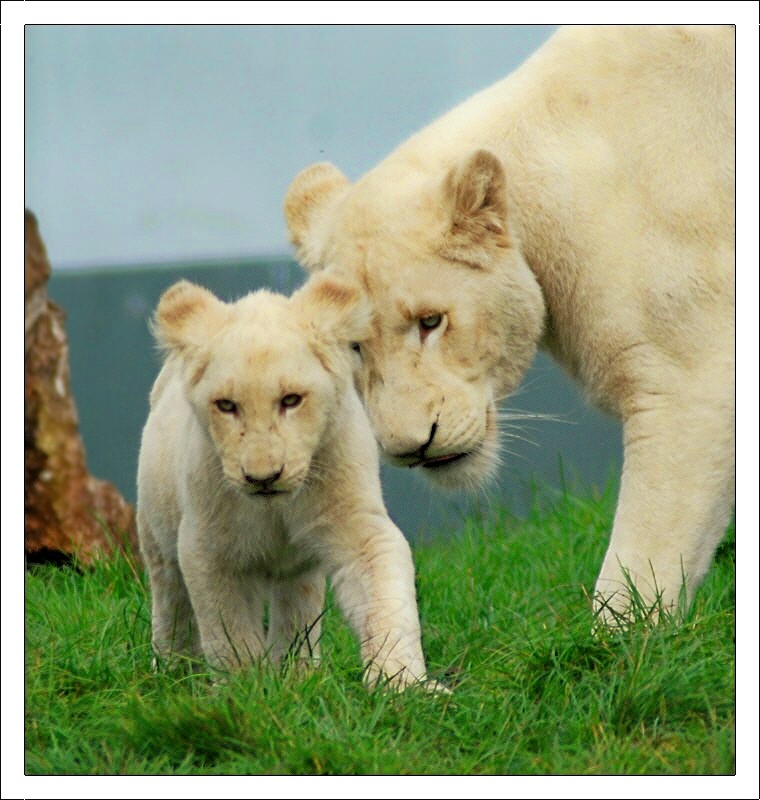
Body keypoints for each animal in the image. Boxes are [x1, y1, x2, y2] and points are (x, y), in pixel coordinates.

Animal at [136, 276, 434, 689]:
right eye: (226, 405)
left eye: (291, 399)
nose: (263, 477)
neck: (274, 508)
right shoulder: (207, 546)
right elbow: (229, 631)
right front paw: (246, 689)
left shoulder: (356, 523)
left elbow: (384, 599)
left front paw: (404, 685)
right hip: (156, 536)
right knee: (171, 602)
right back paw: (172, 671)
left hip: (298, 570)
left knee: (297, 608)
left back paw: (297, 675)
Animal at [284, 25, 735, 620]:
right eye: (355, 347)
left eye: (431, 321)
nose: (412, 446)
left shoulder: (688, 373)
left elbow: (644, 554)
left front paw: (618, 639)